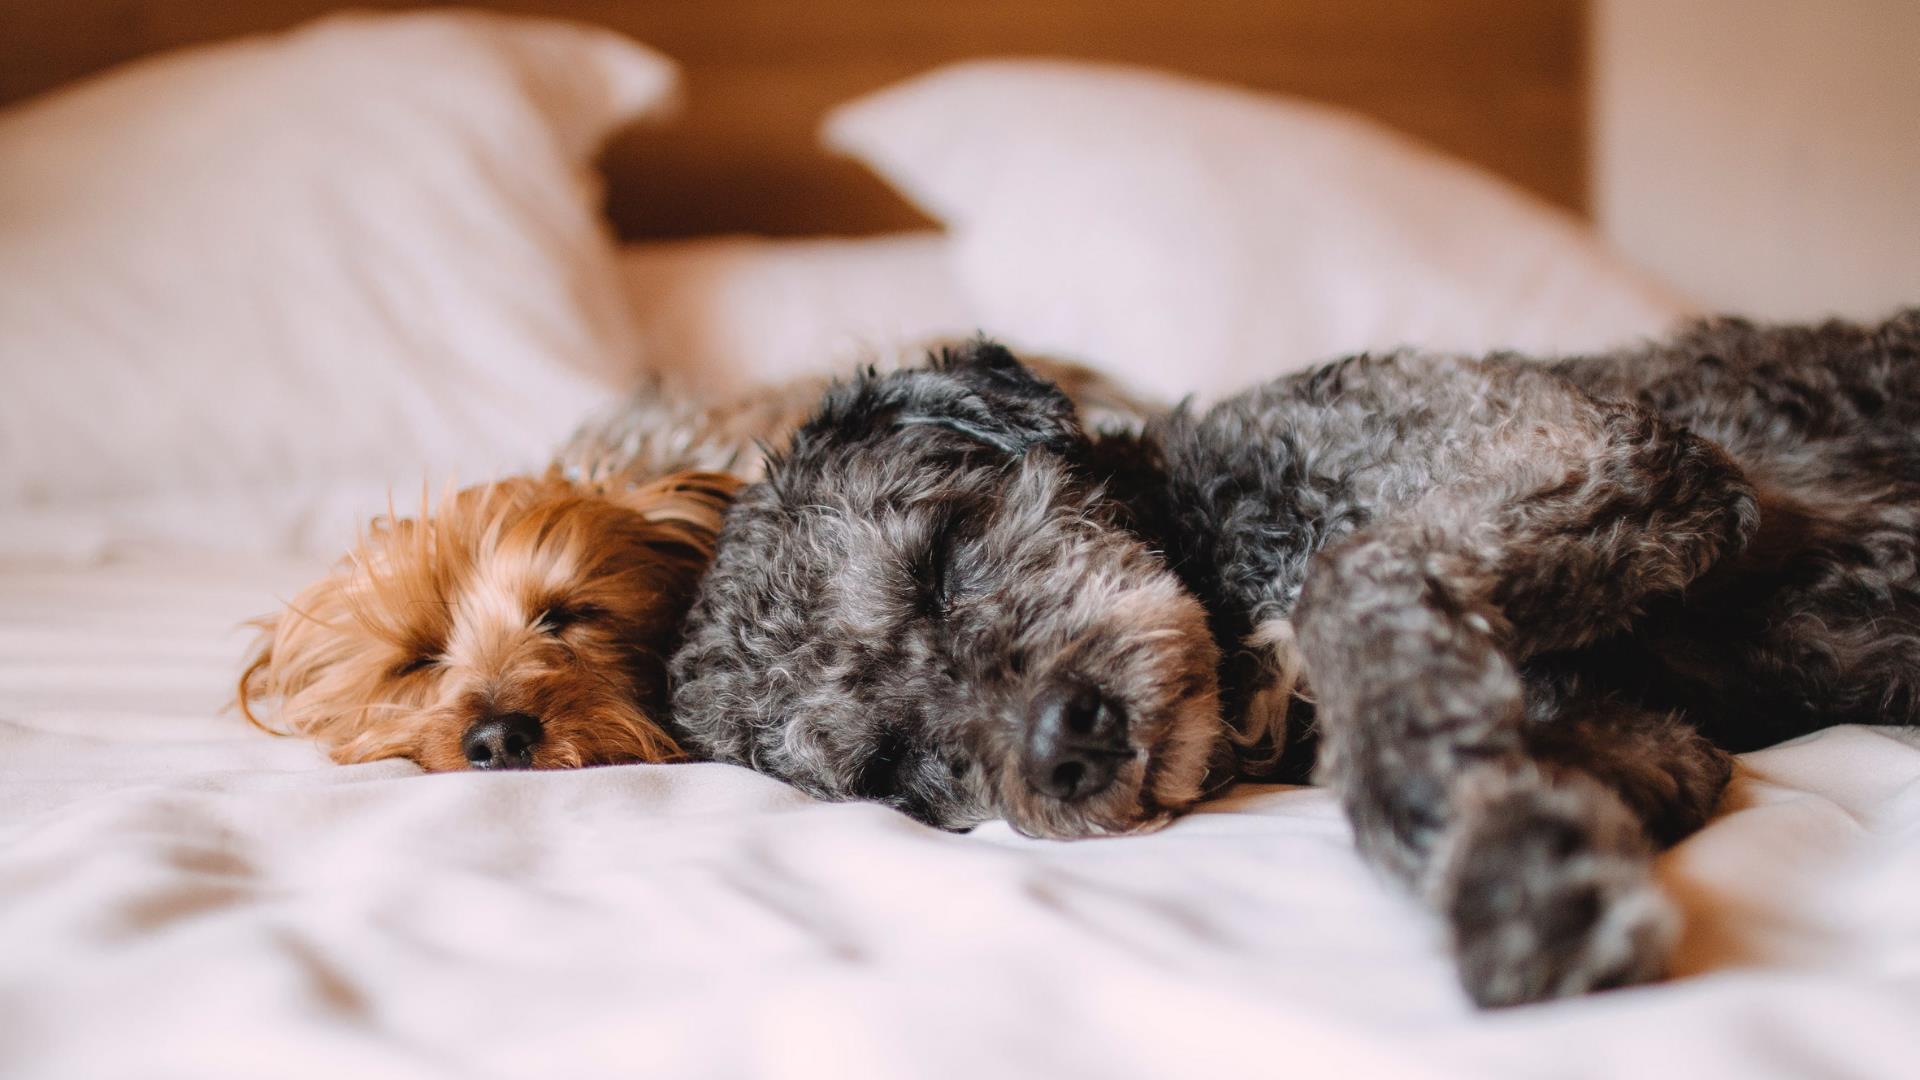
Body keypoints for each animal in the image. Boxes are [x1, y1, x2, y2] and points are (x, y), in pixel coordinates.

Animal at [672, 315, 1920, 1006]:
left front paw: (1510, 880)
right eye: (896, 770)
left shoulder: (1600, 445)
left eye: (938, 559)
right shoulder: (1650, 728)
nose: (1065, 745)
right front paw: (1499, 816)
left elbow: (1347, 585)